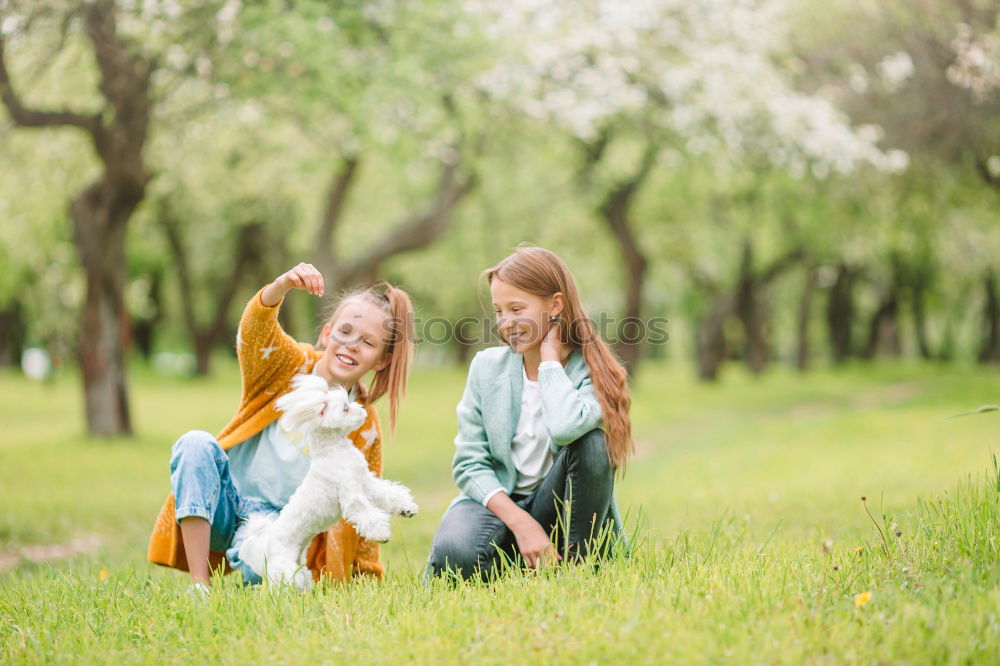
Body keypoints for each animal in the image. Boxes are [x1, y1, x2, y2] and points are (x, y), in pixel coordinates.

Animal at [238, 374, 418, 588]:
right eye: (345, 408)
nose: (362, 407)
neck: (335, 450)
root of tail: (267, 541)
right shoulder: (351, 494)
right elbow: (365, 513)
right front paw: (381, 533)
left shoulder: (365, 482)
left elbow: (387, 494)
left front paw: (406, 508)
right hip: (284, 568)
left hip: (299, 564)